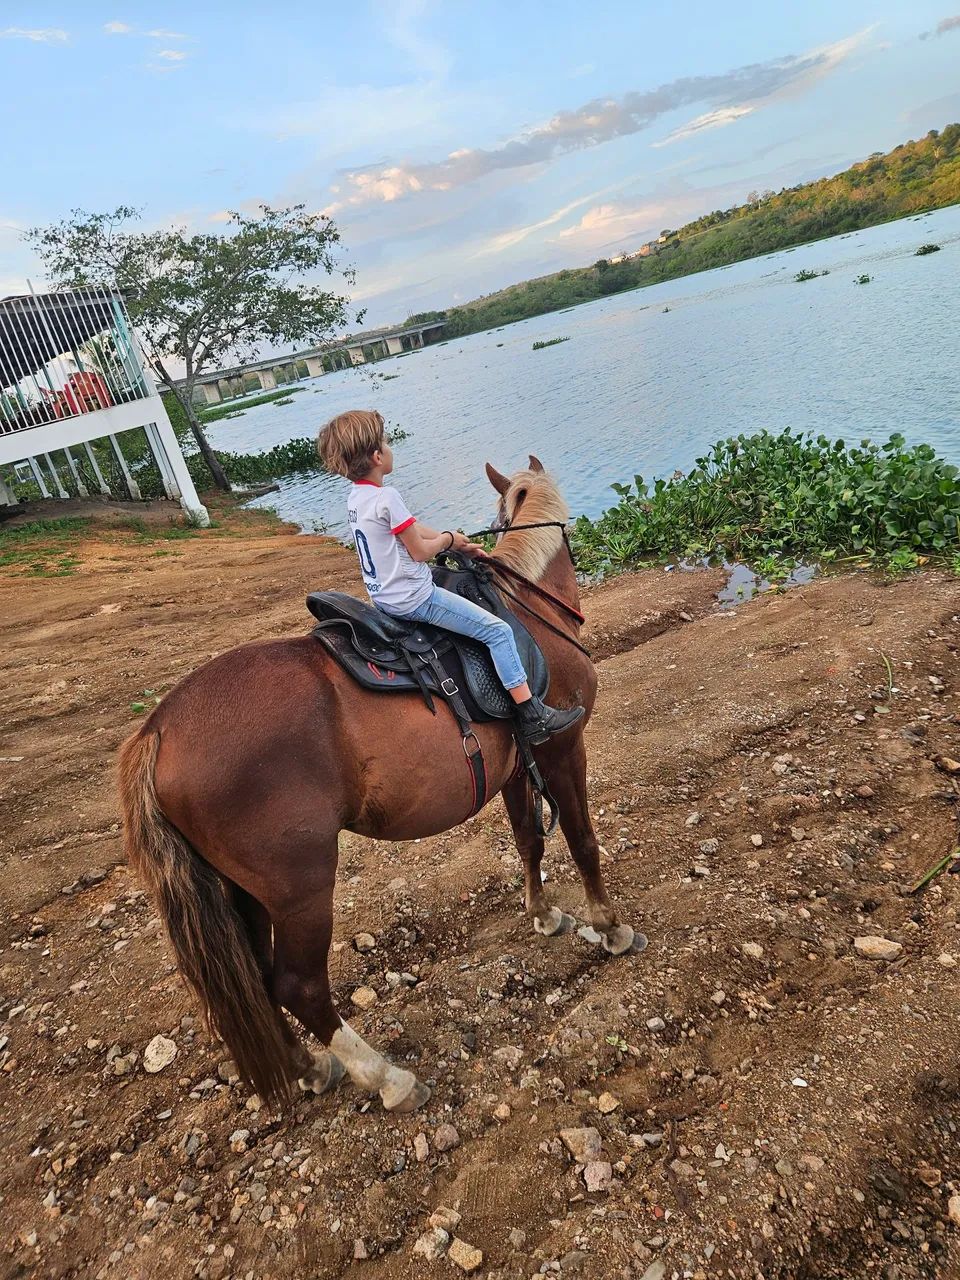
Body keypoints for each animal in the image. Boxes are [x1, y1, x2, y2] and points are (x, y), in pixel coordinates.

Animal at [118, 456, 644, 1114]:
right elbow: (581, 840)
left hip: (241, 891)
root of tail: (158, 729)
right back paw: (387, 1076)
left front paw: (544, 914)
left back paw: (311, 1067)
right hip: (300, 886)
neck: (523, 611)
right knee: (297, 984)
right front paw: (609, 926)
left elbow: (530, 841)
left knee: (259, 978)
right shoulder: (561, 747)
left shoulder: (515, 769)